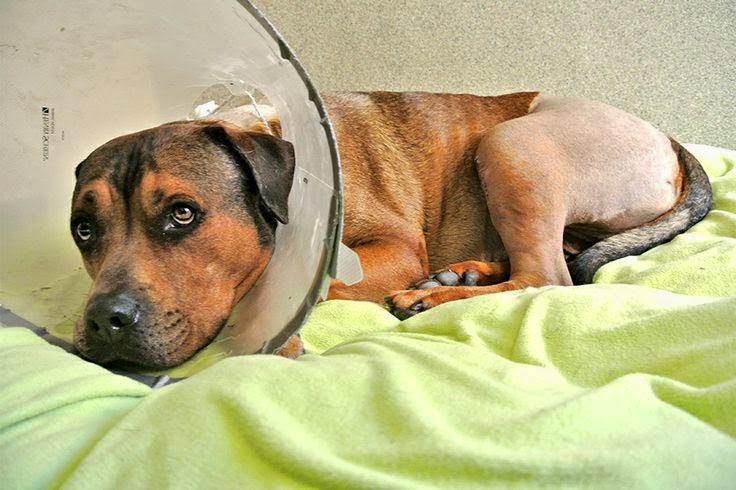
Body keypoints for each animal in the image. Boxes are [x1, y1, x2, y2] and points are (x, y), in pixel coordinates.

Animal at [70, 91, 712, 368]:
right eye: (83, 229)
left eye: (183, 213)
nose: (102, 321)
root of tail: (668, 142)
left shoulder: (393, 250)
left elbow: (322, 286)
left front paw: (274, 330)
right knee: (554, 258)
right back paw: (461, 274)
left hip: (510, 143)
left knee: (551, 275)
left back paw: (433, 296)